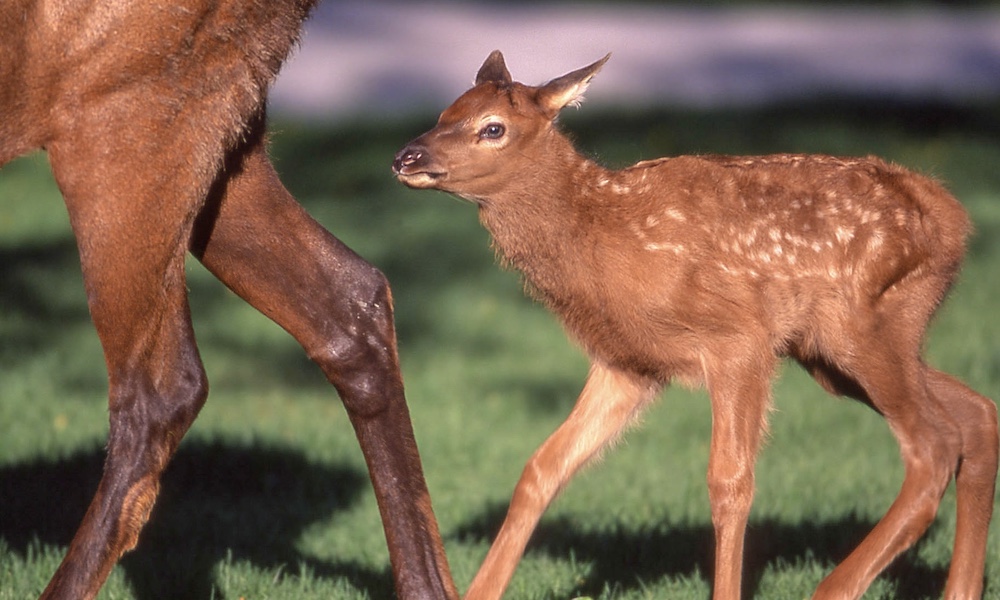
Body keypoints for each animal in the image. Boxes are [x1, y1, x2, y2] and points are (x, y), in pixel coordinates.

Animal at [394, 51, 996, 600]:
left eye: (492, 127)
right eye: (446, 111)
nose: (405, 156)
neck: (605, 244)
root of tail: (954, 220)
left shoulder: (738, 338)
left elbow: (729, 482)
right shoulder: (628, 362)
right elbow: (543, 466)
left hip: (860, 326)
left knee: (933, 445)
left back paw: (833, 590)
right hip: (840, 347)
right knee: (976, 413)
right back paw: (958, 590)